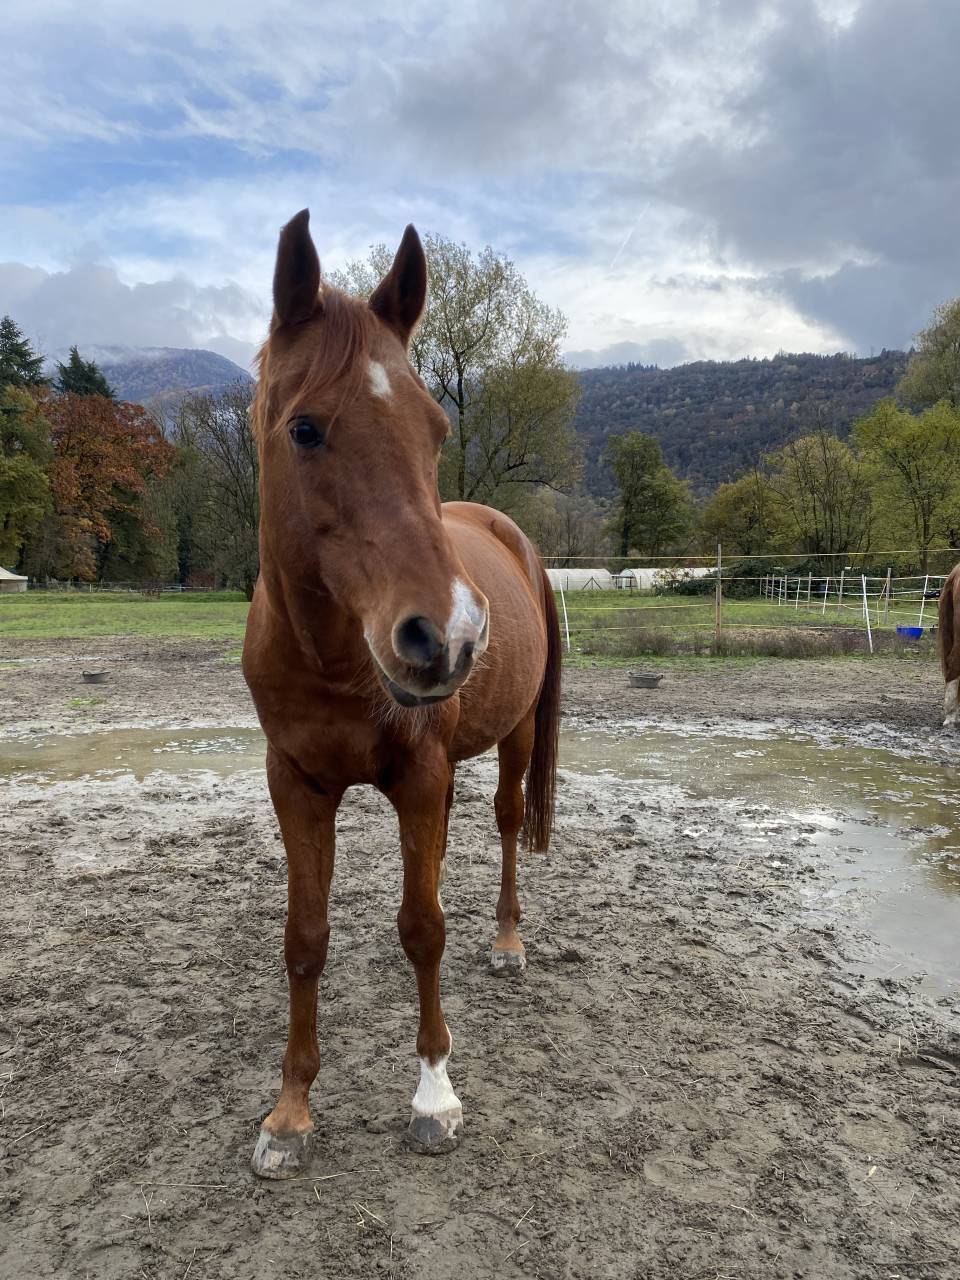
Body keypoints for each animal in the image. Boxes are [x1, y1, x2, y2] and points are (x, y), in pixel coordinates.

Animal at [241, 209, 562, 1177]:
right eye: (306, 429)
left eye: (435, 429)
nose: (447, 636)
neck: (332, 659)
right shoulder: (297, 785)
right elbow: (305, 941)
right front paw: (290, 1113)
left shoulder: (420, 777)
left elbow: (423, 927)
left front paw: (434, 1095)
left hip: (514, 739)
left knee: (504, 826)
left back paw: (506, 941)